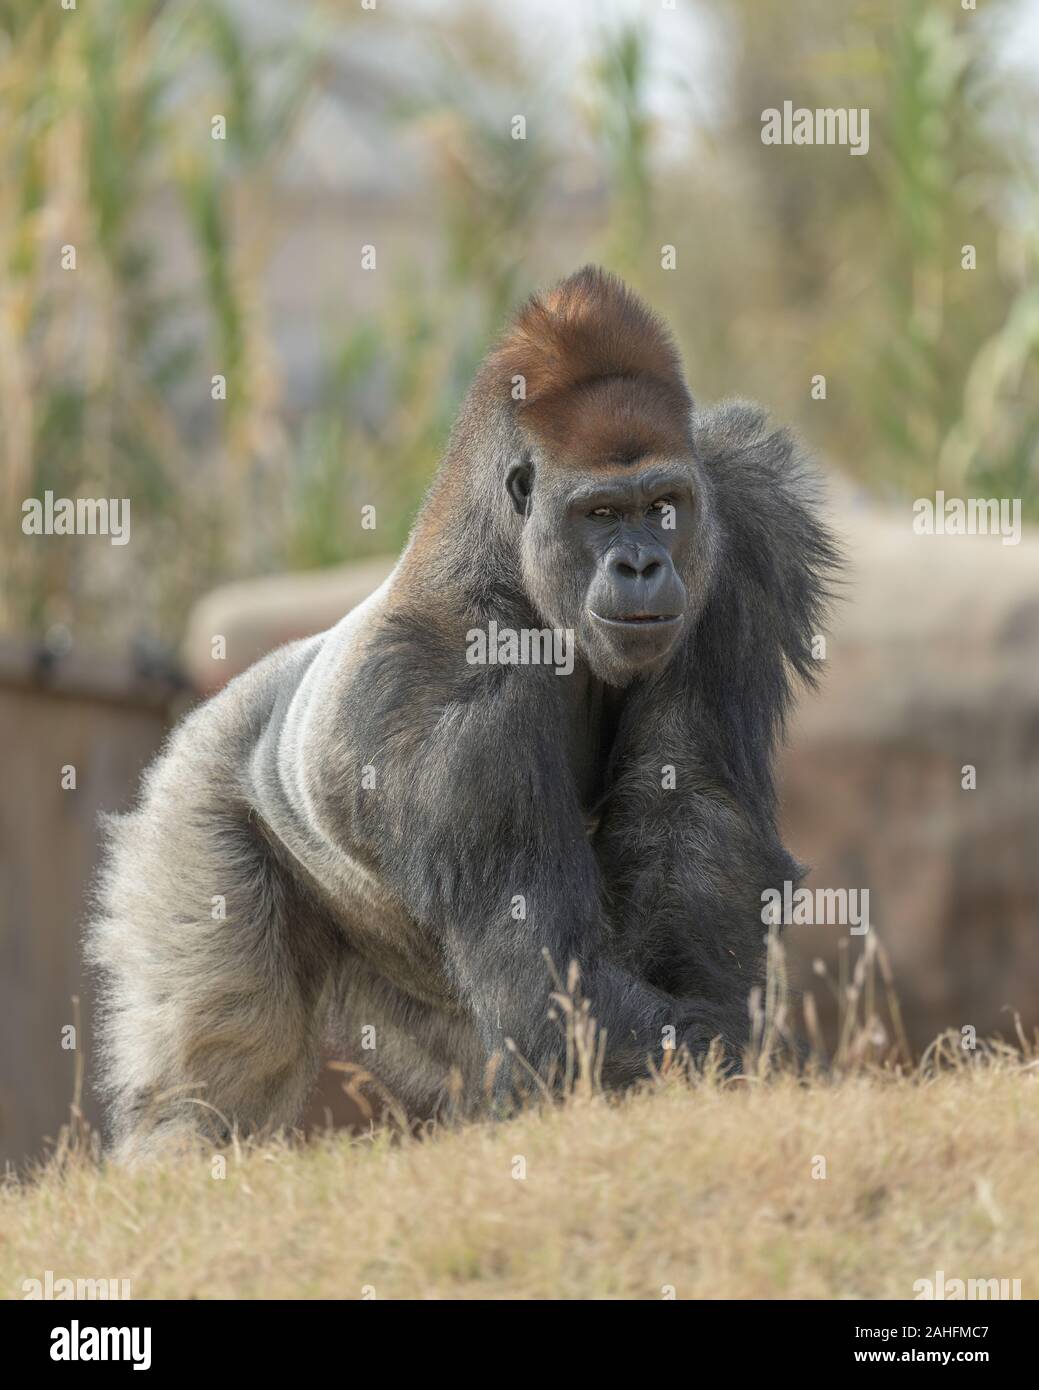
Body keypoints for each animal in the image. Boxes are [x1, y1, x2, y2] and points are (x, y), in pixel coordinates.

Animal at [86, 266, 840, 1160]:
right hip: (190, 800)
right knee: (215, 1075)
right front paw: (744, 1070)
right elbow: (550, 990)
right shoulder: (441, 704)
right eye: (597, 514)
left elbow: (692, 814)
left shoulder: (744, 503)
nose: (642, 564)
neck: (501, 554)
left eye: (662, 505)